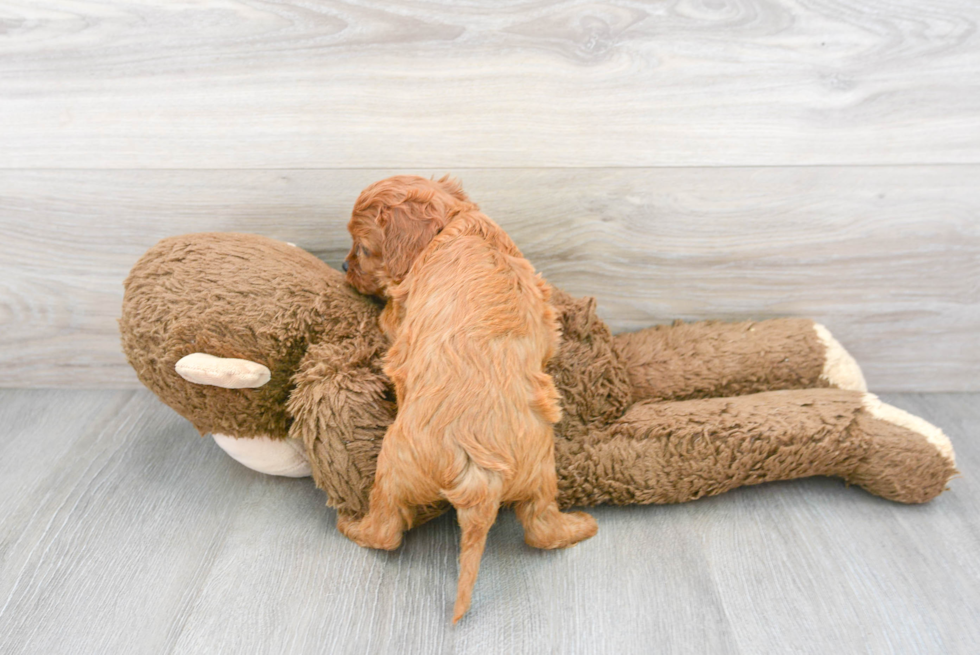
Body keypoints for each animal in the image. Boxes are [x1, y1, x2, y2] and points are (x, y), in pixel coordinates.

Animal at [340, 177, 596, 624]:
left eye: (364, 249)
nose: (343, 267)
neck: (454, 222)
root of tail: (481, 478)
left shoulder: (401, 314)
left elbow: (389, 316)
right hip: (542, 474)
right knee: (542, 527)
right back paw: (581, 526)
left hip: (390, 467)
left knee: (385, 531)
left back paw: (350, 525)